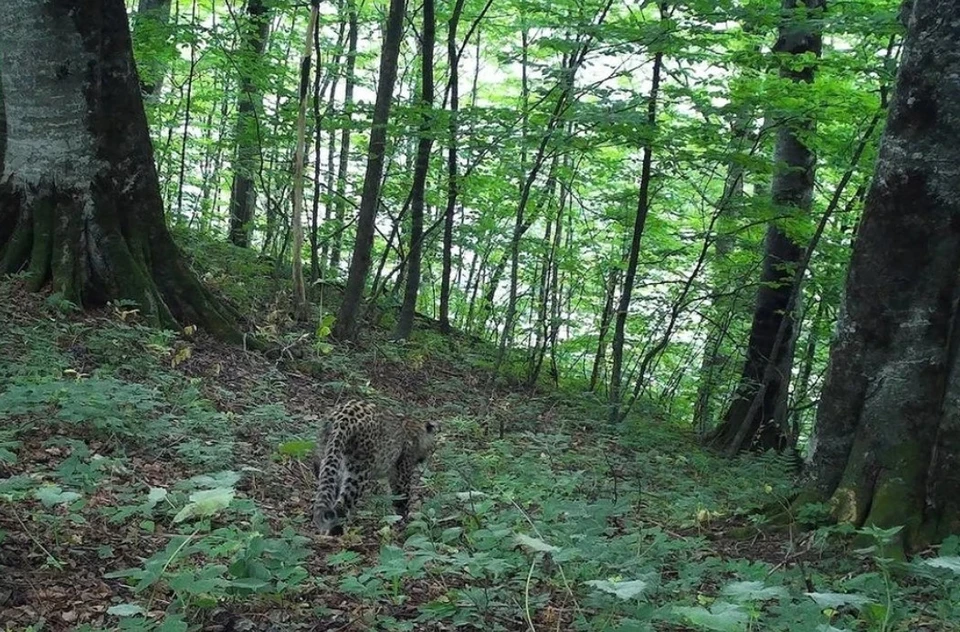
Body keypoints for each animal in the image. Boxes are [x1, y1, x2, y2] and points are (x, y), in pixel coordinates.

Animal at [312, 400, 438, 532]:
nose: (423, 459)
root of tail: (344, 417)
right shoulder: (403, 473)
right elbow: (402, 497)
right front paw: (405, 522)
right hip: (358, 473)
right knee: (342, 506)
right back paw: (337, 530)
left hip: (327, 457)